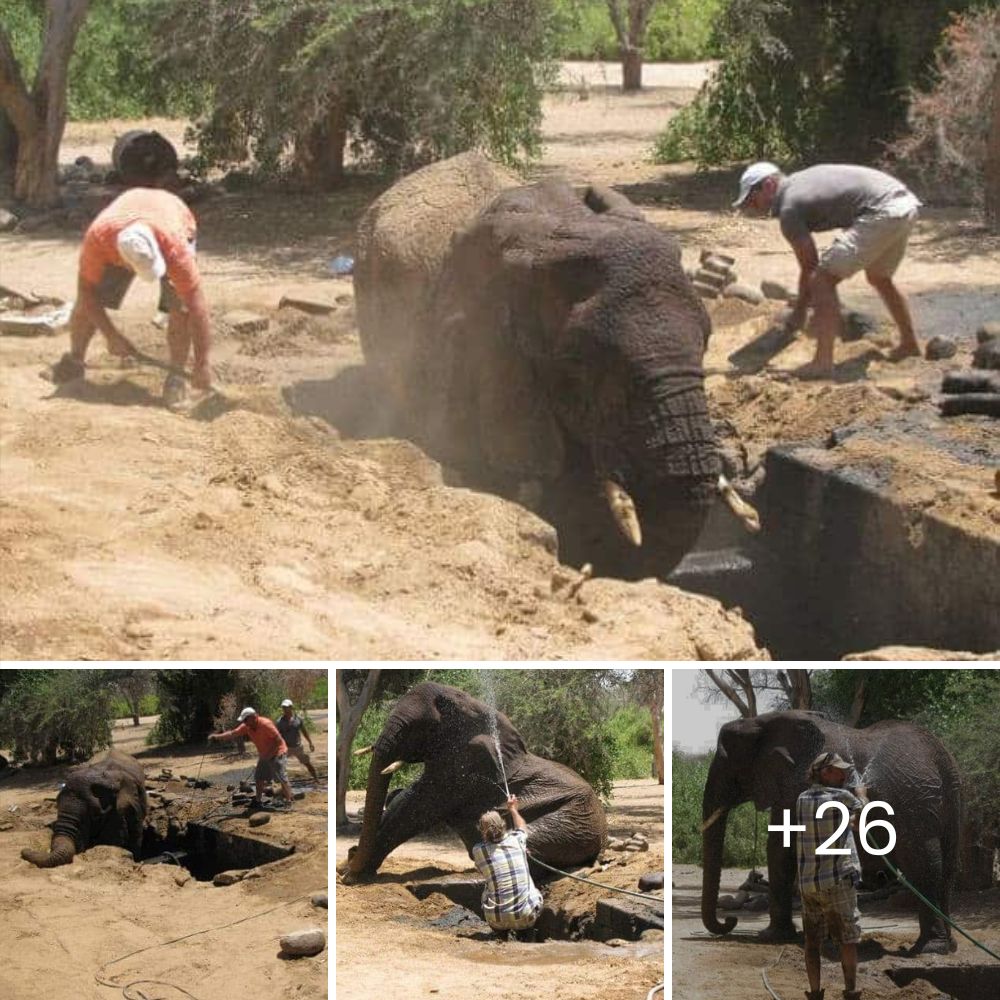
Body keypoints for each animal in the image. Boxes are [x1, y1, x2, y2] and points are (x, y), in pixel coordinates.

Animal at [344, 680, 608, 884]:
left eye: (418, 729)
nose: (350, 853)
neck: (470, 707)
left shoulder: (461, 770)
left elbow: (416, 807)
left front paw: (352, 875)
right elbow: (404, 799)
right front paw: (350, 867)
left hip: (575, 820)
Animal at [700, 712, 964, 952]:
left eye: (728, 767)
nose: (730, 921)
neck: (762, 721)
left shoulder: (794, 785)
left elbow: (780, 847)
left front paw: (770, 937)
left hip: (915, 806)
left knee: (922, 865)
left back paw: (928, 949)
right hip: (950, 802)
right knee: (947, 869)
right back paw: (948, 945)